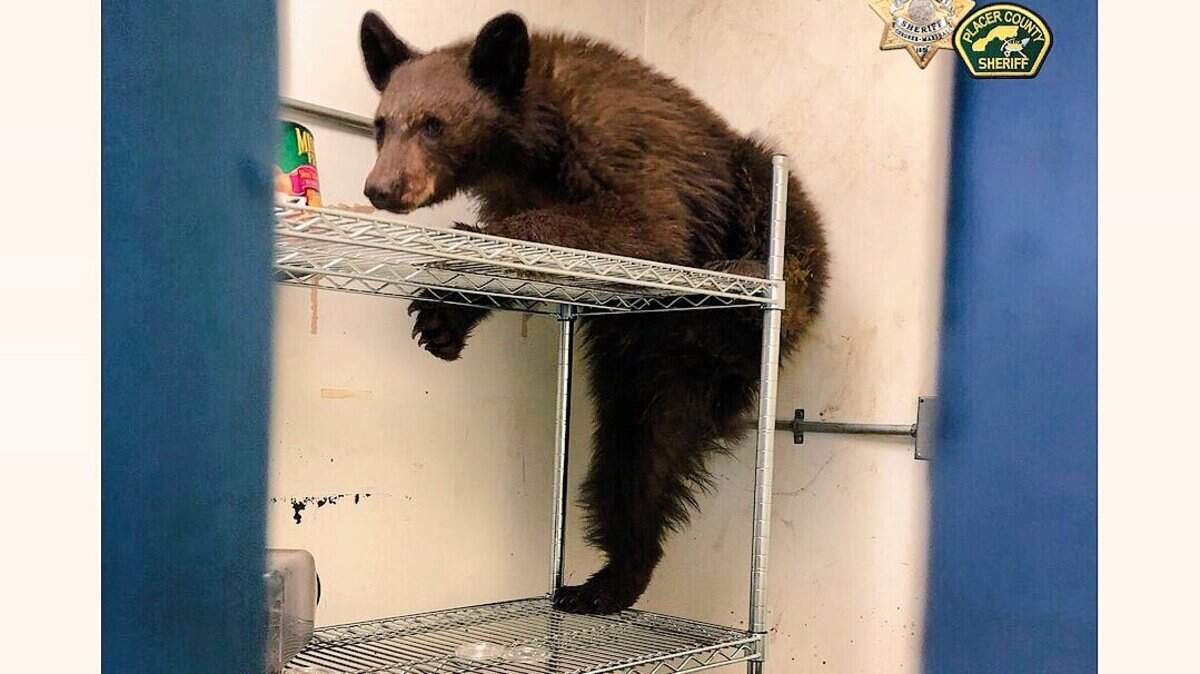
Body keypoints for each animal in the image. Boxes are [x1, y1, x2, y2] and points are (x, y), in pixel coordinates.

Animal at [359, 10, 829, 614]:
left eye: (433, 124)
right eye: (381, 124)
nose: (382, 188)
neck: (526, 145)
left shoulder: (619, 146)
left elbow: (641, 225)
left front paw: (459, 257)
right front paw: (444, 320)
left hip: (758, 194)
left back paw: (751, 276)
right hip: (645, 377)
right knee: (635, 466)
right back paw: (609, 580)